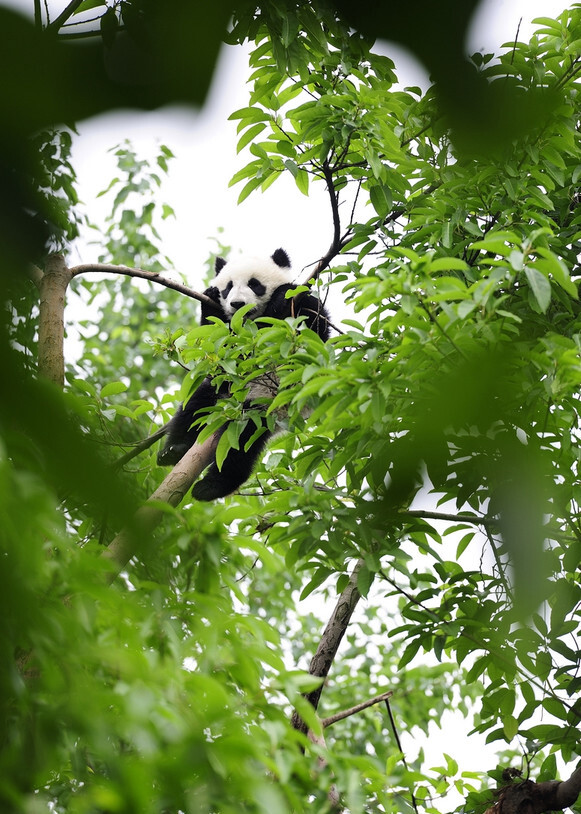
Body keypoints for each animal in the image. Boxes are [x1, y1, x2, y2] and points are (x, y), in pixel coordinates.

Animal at [157, 249, 330, 504]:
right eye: (228, 287)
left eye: (254, 284)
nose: (237, 304)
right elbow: (217, 345)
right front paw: (210, 300)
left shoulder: (303, 312)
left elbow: (312, 329)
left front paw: (280, 297)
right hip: (222, 389)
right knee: (195, 406)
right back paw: (173, 450)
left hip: (266, 406)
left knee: (240, 441)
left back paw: (210, 487)